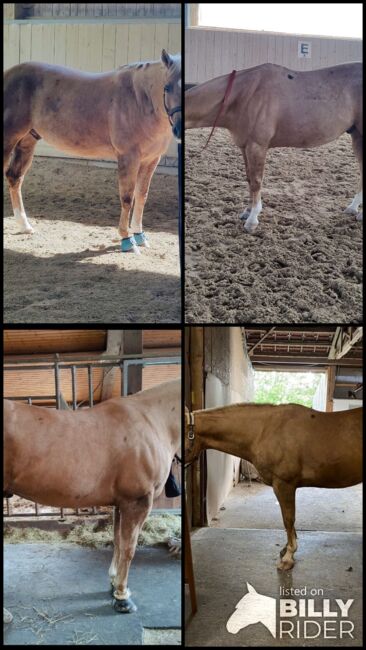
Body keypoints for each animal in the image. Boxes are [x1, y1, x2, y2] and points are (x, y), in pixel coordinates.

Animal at [2, 47, 180, 251]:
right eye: (167, 87)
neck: (140, 99)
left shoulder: (151, 159)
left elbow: (141, 196)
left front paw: (140, 236)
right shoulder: (128, 157)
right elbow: (127, 198)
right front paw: (127, 240)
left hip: (27, 141)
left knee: (15, 177)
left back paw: (25, 226)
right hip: (8, 138)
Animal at [2, 378, 180, 620]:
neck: (153, 420)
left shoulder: (121, 503)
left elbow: (118, 542)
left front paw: (114, 585)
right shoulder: (137, 502)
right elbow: (129, 549)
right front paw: (123, 598)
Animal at [186, 61, 364, 233]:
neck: (244, 95)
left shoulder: (257, 146)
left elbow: (256, 181)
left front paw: (252, 220)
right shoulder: (244, 147)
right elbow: (249, 179)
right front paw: (247, 212)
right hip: (357, 136)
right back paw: (353, 208)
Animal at [186, 402, 364, 568]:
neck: (264, 431)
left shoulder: (284, 484)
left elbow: (288, 519)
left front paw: (288, 557)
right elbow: (288, 521)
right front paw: (285, 550)